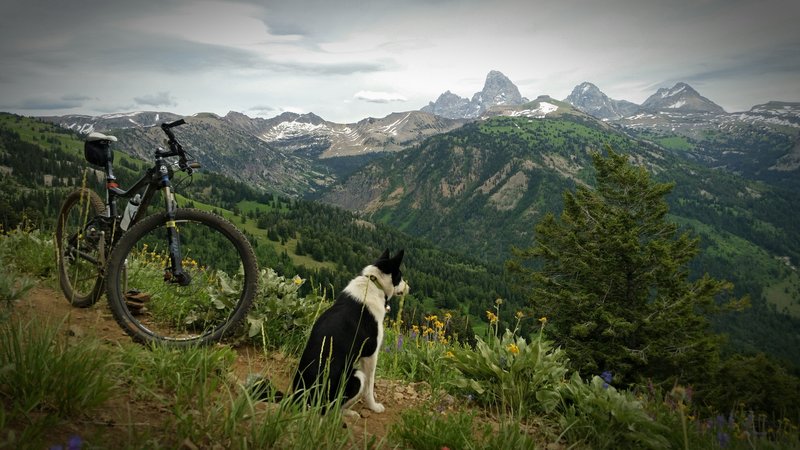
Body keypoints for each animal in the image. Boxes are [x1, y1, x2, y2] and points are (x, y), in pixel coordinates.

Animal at [255, 248, 406, 416]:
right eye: (400, 276)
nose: (408, 287)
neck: (373, 282)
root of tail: (298, 397)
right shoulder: (370, 355)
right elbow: (369, 386)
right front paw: (374, 406)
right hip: (356, 377)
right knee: (331, 409)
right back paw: (349, 414)